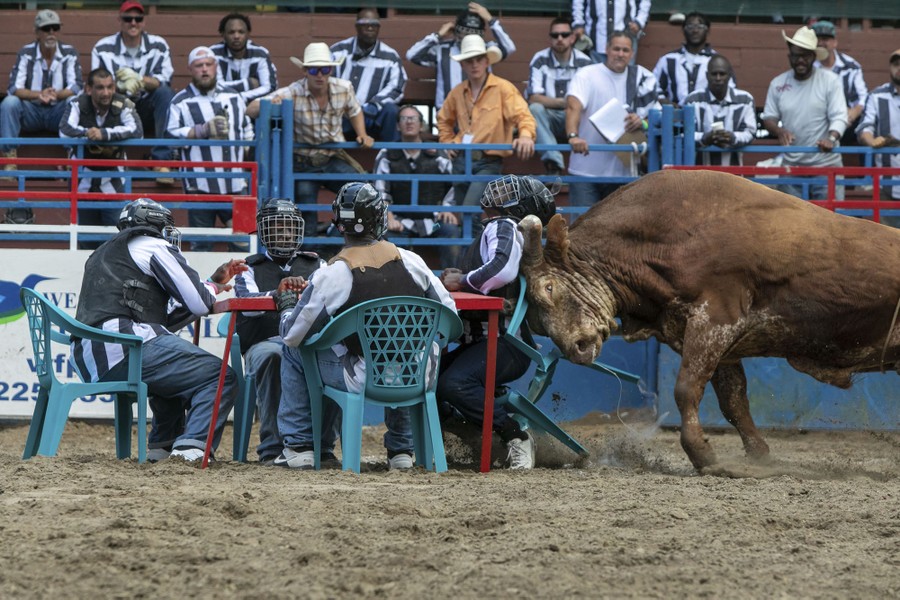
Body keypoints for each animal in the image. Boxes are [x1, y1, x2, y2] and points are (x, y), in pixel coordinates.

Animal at [518, 169, 900, 471]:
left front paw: (702, 455)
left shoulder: (714, 320)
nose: (577, 347)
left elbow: (687, 388)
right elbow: (733, 402)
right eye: (534, 320)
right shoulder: (721, 343)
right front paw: (760, 456)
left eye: (549, 288)